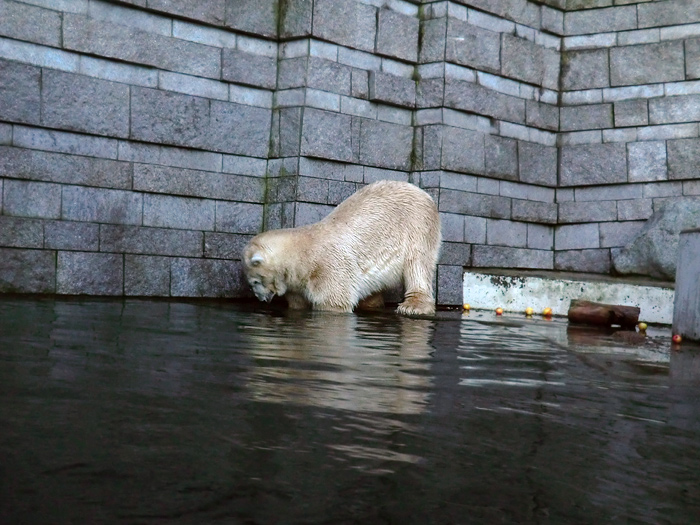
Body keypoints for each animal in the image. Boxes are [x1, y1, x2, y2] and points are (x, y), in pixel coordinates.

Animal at [242, 180, 438, 316]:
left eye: (255, 282)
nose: (260, 298)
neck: (302, 255)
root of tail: (422, 193)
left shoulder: (328, 267)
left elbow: (333, 301)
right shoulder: (295, 283)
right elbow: (297, 303)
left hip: (417, 226)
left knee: (417, 264)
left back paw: (413, 306)